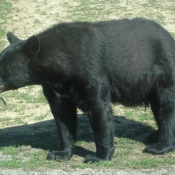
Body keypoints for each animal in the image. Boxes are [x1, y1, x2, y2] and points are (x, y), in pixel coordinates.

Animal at [0, 17, 175, 163]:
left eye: (2, 66)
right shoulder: (56, 88)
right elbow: (63, 117)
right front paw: (60, 153)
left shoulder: (90, 71)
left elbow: (99, 110)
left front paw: (99, 157)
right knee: (158, 107)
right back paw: (155, 135)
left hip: (163, 69)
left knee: (166, 106)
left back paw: (160, 146)